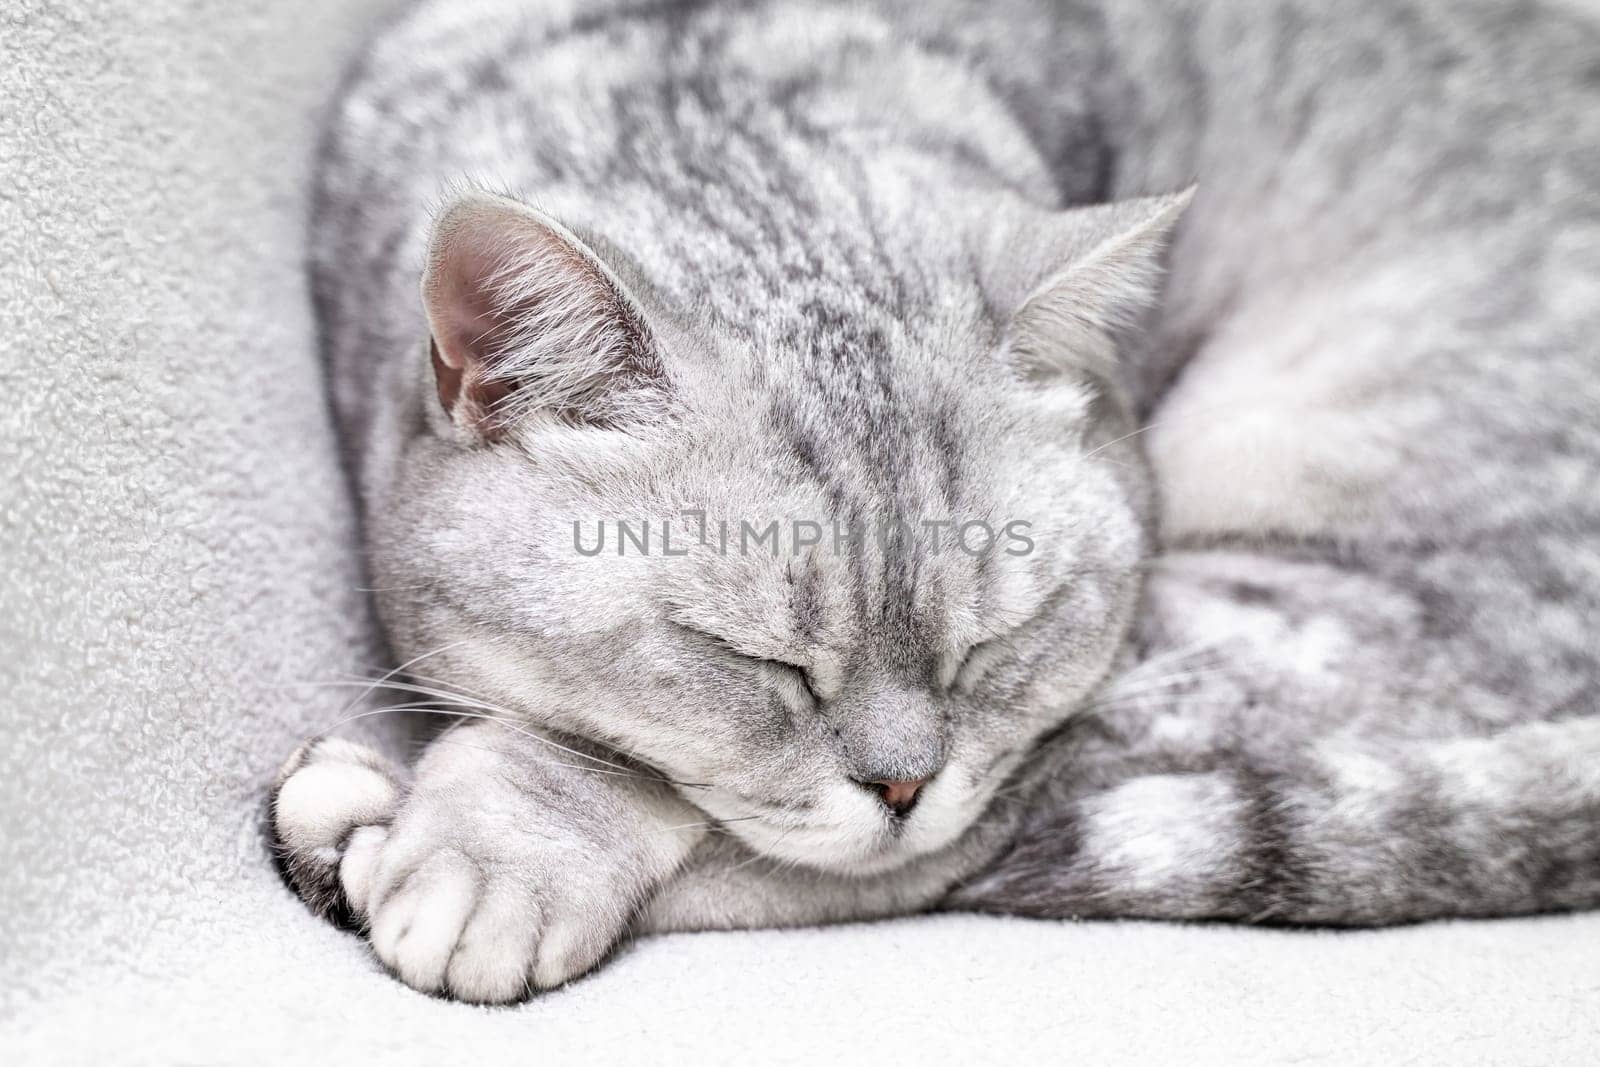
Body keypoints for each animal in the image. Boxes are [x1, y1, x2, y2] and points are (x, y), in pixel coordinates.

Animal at [272, 0, 1600, 1004]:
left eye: (990, 642)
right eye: (756, 660)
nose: (901, 789)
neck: (697, 85)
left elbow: (668, 790)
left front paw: (492, 844)